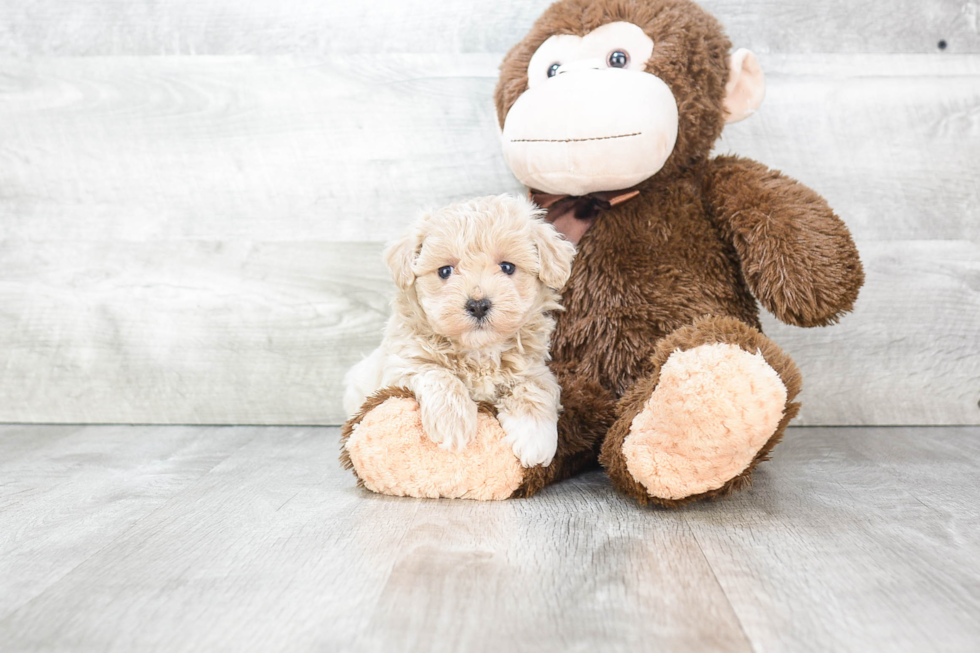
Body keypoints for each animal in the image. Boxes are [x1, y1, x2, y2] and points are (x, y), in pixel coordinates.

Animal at [342, 191, 576, 466]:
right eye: (445, 271)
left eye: (507, 267)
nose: (478, 305)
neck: (478, 352)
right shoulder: (401, 364)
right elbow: (437, 373)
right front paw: (453, 422)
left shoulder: (536, 370)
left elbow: (534, 390)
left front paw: (535, 438)